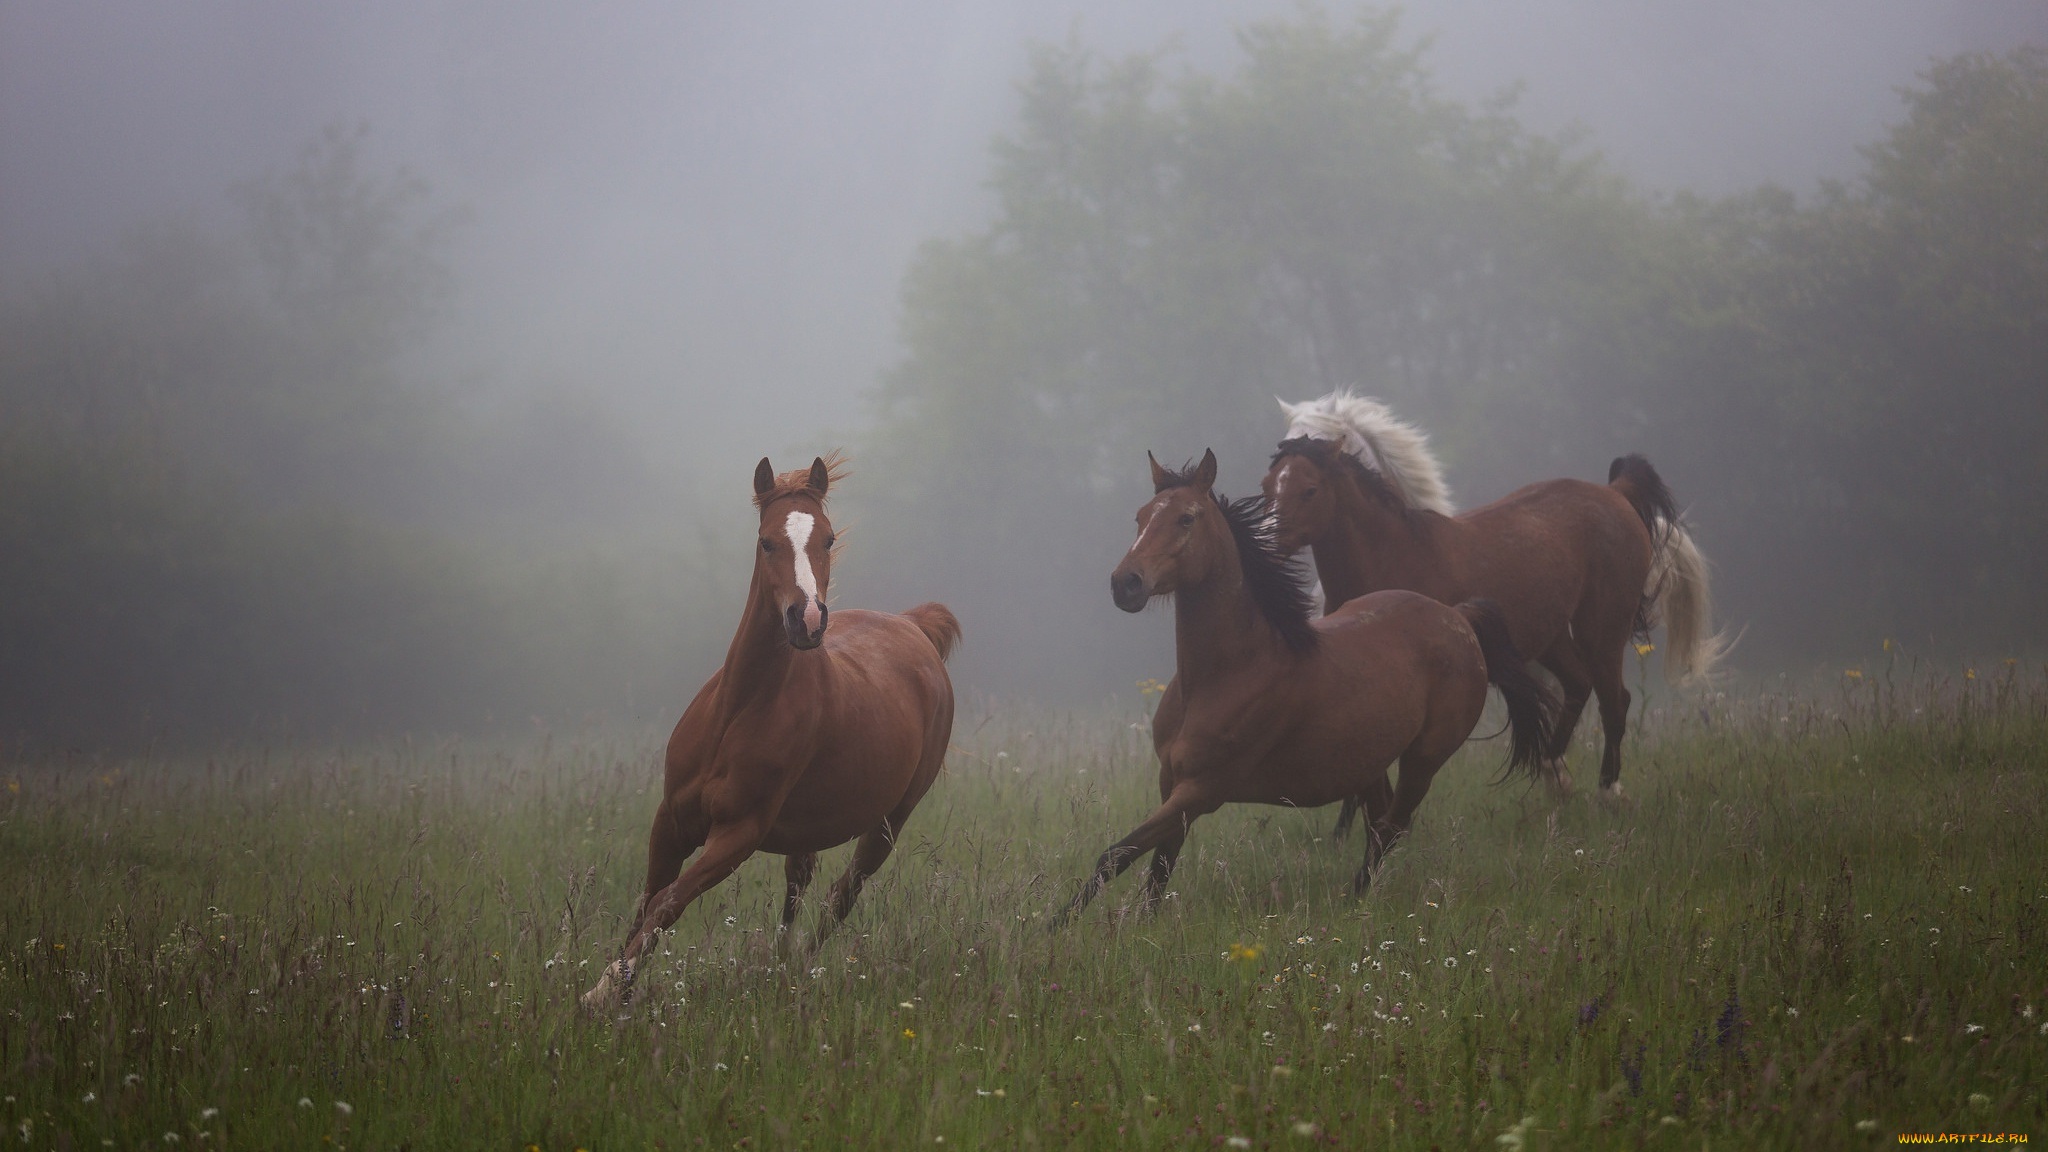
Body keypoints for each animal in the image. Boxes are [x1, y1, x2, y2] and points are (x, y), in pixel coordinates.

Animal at [577, 453, 958, 1008]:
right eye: (766, 542)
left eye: (828, 539)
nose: (808, 620)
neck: (736, 713)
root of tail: (914, 625)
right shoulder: (670, 821)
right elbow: (646, 901)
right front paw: (610, 987)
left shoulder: (738, 834)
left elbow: (668, 904)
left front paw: (606, 989)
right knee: (800, 885)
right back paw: (777, 968)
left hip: (891, 820)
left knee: (842, 896)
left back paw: (796, 971)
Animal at [1056, 444, 1548, 918]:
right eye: (1140, 517)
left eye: (1186, 518)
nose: (1125, 583)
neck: (1228, 672)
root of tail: (1458, 617)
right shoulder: (1171, 783)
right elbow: (1156, 870)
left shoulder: (1202, 789)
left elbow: (1116, 854)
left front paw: (1058, 925)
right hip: (1368, 761)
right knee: (1378, 821)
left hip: (1425, 758)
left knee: (1392, 827)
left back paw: (1352, 900)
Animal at [1261, 387, 1728, 807]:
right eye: (1268, 484)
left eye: (1309, 489)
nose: (1264, 544)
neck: (1395, 553)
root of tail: (1616, 494)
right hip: (1550, 637)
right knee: (1578, 686)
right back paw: (1554, 773)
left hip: (1603, 628)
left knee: (1615, 701)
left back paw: (1607, 790)